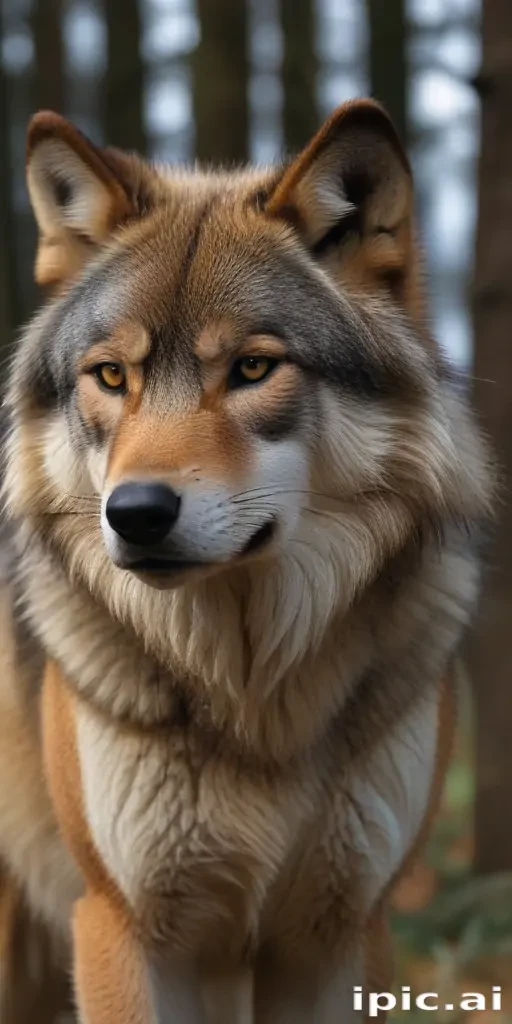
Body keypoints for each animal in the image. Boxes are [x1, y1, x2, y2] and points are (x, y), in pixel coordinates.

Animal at [0, 100, 491, 1022]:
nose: (136, 513)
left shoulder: (337, 935)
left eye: (254, 367)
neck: (252, 697)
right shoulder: (124, 927)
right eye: (110, 376)